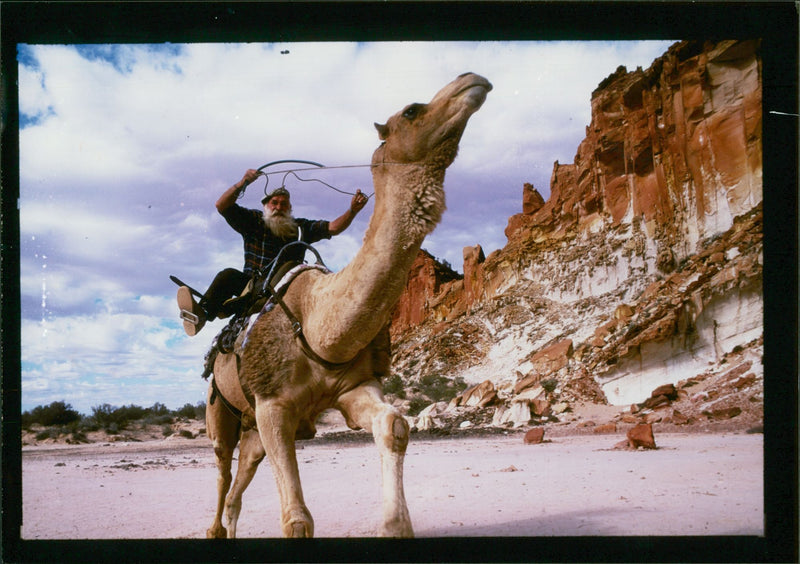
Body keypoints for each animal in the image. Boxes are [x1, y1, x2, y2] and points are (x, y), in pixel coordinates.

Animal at [203, 71, 490, 536]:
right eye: (412, 110)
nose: (472, 80)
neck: (317, 328)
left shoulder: (353, 386)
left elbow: (393, 424)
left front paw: (394, 525)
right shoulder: (271, 405)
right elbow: (297, 520)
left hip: (251, 431)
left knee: (239, 482)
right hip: (221, 408)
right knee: (222, 466)